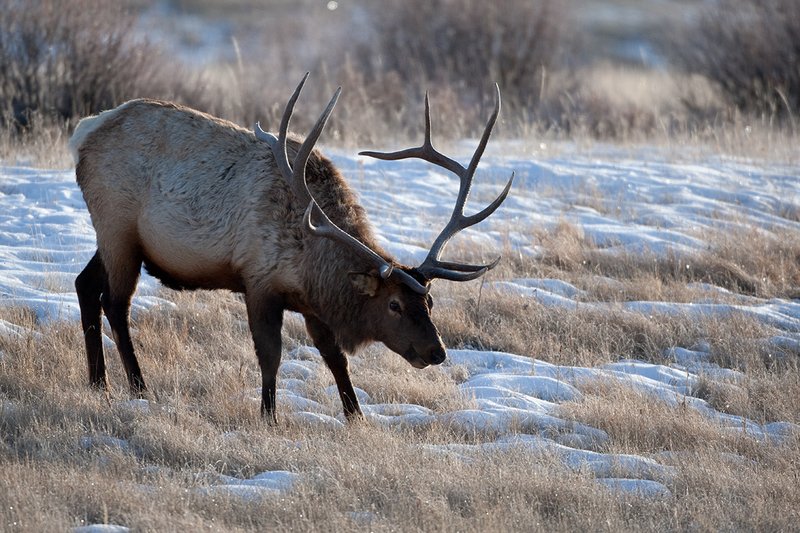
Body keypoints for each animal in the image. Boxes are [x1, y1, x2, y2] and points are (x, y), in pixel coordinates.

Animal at [71, 73, 514, 423]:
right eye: (394, 305)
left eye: (430, 302)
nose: (437, 351)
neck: (313, 263)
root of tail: (83, 132)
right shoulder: (259, 280)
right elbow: (271, 355)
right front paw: (269, 416)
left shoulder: (312, 305)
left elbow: (335, 358)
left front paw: (356, 416)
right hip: (116, 227)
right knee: (115, 303)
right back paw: (138, 387)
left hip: (118, 239)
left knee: (83, 283)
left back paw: (98, 383)